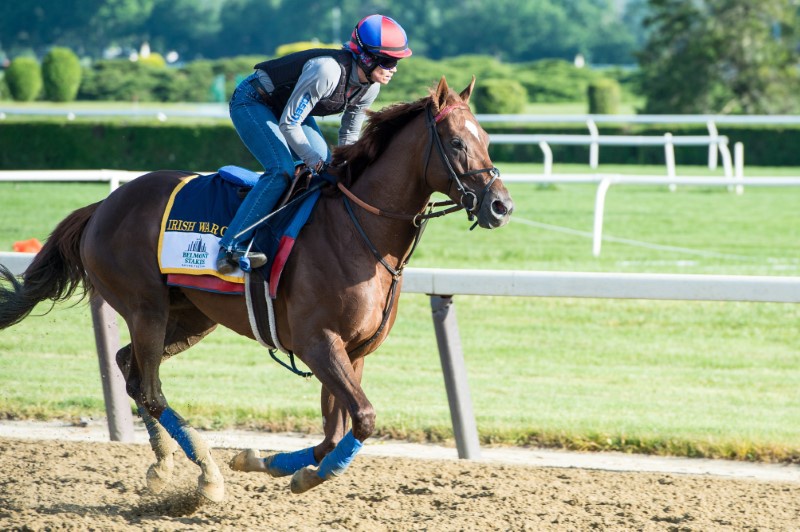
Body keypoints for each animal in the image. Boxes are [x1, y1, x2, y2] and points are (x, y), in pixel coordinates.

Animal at [0, 76, 512, 502]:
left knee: (131, 368)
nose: (501, 206)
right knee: (151, 389)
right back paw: (206, 476)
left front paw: (265, 463)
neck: (359, 231)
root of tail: (104, 204)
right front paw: (296, 475)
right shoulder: (317, 342)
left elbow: (334, 433)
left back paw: (163, 466)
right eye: (457, 142)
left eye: (487, 140)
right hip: (145, 306)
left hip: (191, 316)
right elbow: (363, 419)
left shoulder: (354, 351)